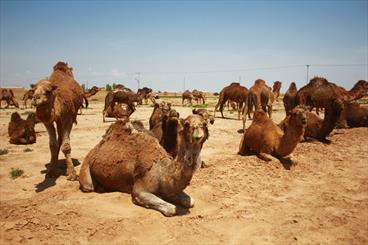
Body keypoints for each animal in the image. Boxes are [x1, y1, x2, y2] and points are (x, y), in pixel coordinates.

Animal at [79, 115, 208, 216]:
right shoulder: (139, 190)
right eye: (186, 124)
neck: (162, 172)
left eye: (204, 124)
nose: (198, 136)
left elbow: (190, 201)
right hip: (87, 163)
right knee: (88, 186)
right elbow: (171, 209)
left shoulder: (169, 189)